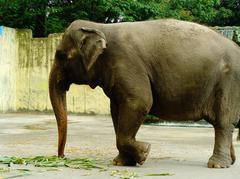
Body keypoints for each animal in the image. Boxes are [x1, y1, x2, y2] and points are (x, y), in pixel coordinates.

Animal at [48, 18, 240, 169]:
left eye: (61, 55)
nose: (62, 157)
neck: (100, 27)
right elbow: (116, 110)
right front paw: (121, 162)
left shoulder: (127, 63)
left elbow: (140, 102)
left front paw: (145, 152)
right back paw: (230, 162)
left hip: (228, 81)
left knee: (223, 122)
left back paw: (217, 165)